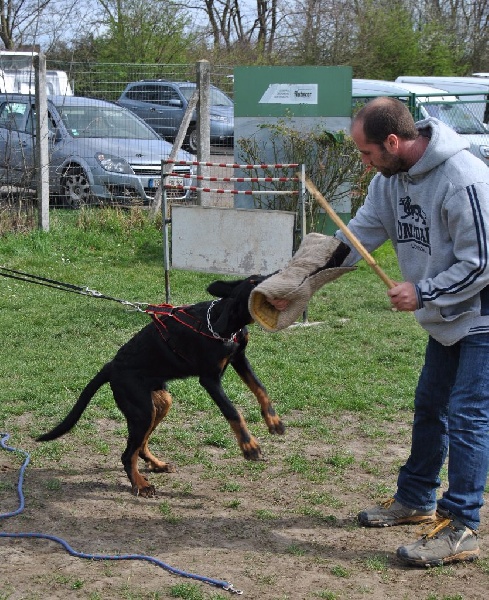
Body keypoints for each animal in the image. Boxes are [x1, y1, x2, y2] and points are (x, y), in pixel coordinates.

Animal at [38, 276, 284, 496]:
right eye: (254, 282)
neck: (219, 321)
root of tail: (111, 366)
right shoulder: (210, 379)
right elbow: (233, 411)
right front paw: (249, 446)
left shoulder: (239, 359)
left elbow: (261, 388)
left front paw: (274, 421)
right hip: (142, 411)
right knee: (127, 455)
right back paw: (140, 485)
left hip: (160, 403)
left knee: (140, 447)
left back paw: (156, 465)